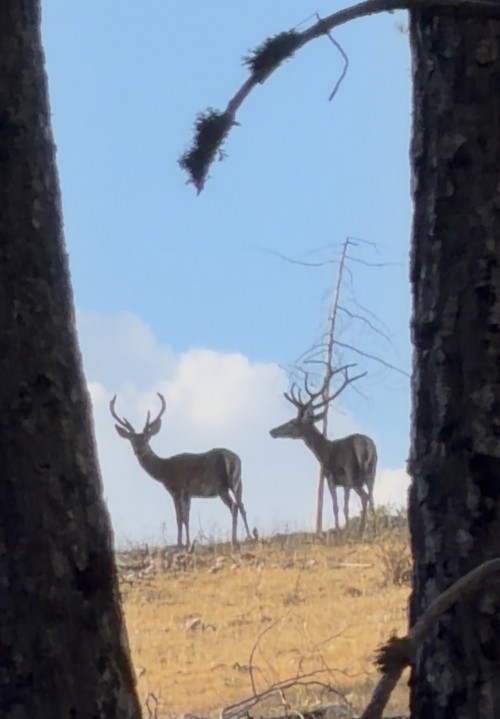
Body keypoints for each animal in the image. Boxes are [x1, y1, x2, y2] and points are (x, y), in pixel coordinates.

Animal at [110, 393, 252, 548]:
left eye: (147, 438)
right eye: (131, 440)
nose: (139, 450)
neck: (163, 471)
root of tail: (230, 458)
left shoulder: (177, 489)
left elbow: (180, 518)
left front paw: (180, 543)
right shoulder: (188, 494)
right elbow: (186, 517)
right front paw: (187, 542)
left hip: (220, 485)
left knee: (234, 506)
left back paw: (234, 539)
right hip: (238, 481)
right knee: (242, 505)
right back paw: (249, 536)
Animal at [269, 365, 377, 538]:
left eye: (292, 422)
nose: (272, 431)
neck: (323, 452)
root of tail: (367, 446)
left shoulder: (331, 478)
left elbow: (337, 507)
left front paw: (341, 531)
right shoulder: (344, 482)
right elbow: (344, 506)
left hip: (352, 473)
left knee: (364, 498)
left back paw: (360, 531)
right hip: (371, 471)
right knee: (371, 496)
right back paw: (372, 528)